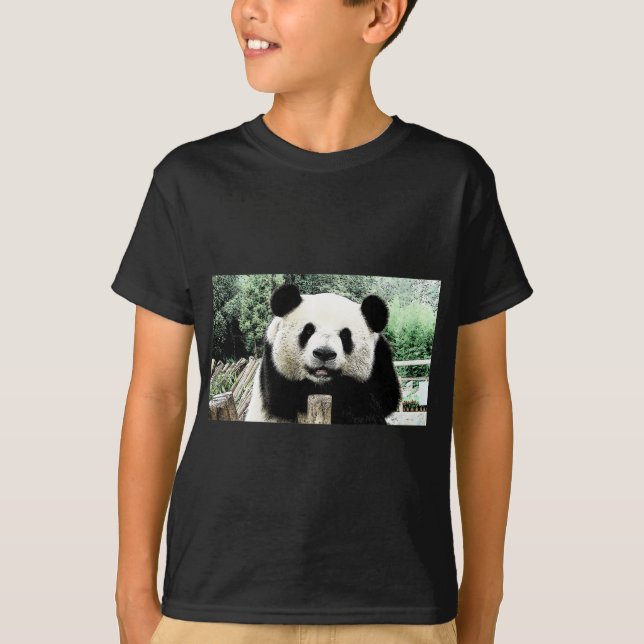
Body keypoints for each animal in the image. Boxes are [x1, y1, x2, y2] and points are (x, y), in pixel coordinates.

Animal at [244, 283, 401, 425]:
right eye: (308, 330)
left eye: (345, 336)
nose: (324, 353)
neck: (322, 383)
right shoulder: (273, 364)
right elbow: (284, 397)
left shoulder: (380, 359)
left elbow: (384, 396)